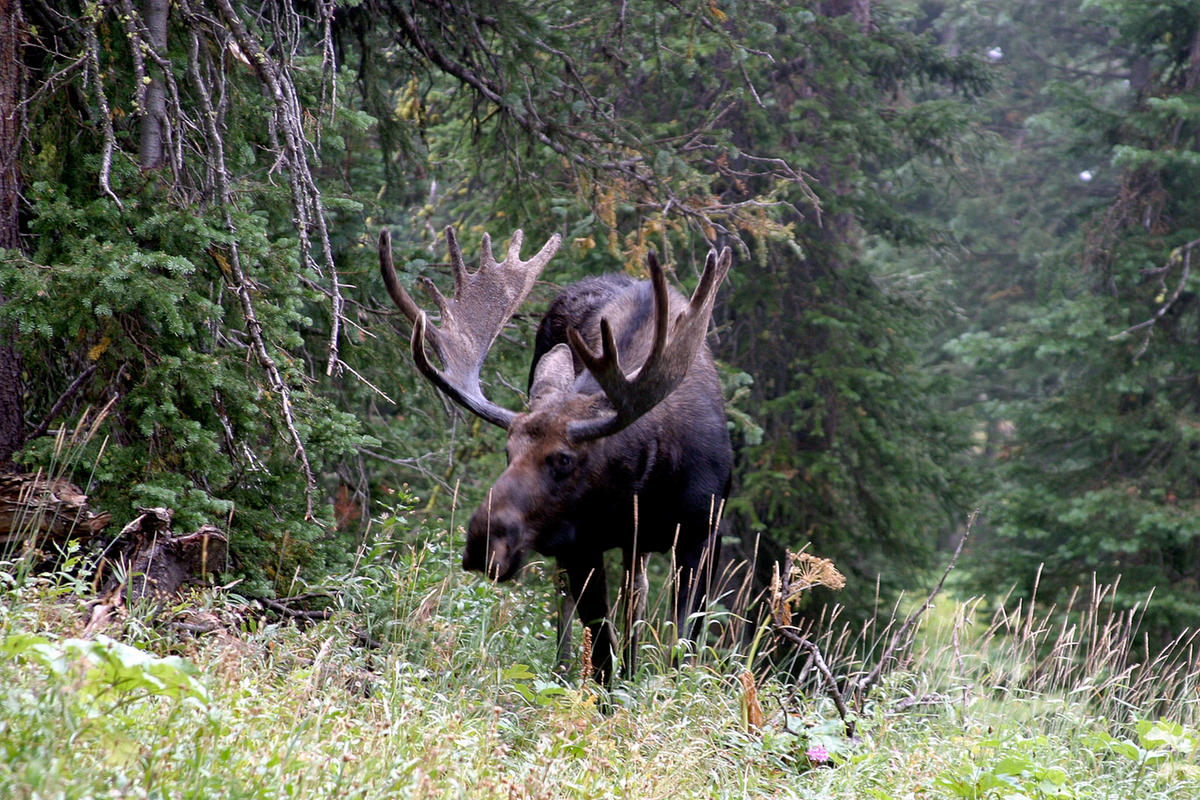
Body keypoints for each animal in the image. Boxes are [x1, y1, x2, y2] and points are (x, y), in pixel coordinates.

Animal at [378, 226, 733, 685]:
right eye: (508, 450)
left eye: (564, 458)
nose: (482, 540)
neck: (648, 479)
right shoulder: (581, 541)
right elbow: (600, 652)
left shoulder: (702, 530)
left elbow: (682, 645)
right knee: (574, 596)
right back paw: (563, 670)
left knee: (635, 590)